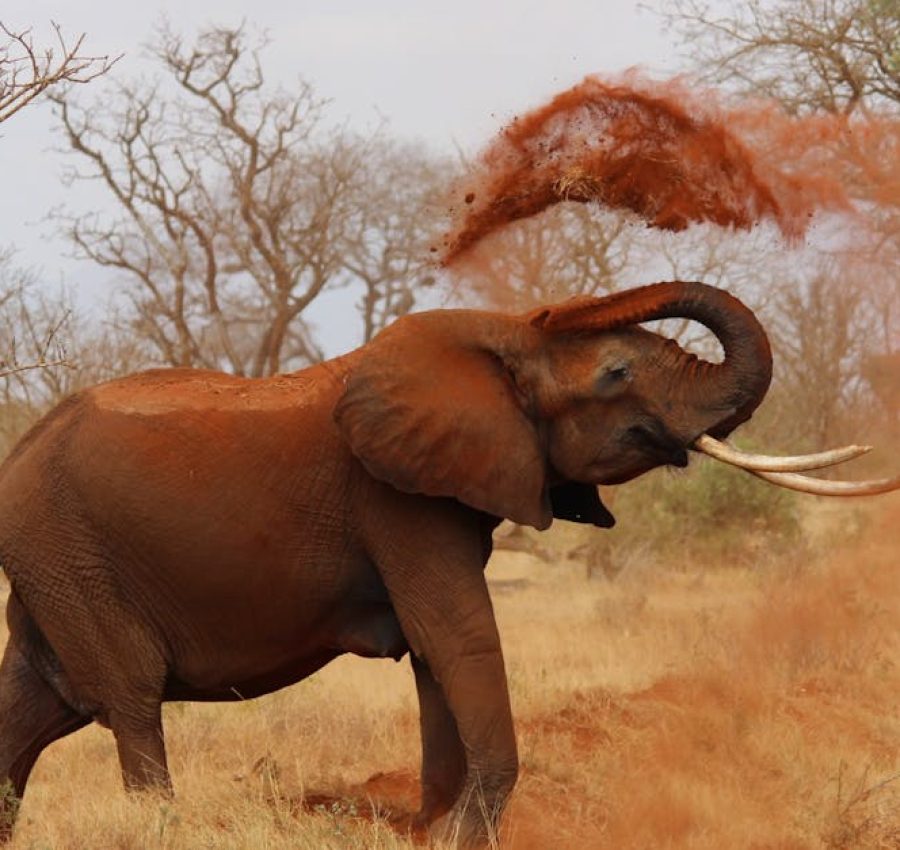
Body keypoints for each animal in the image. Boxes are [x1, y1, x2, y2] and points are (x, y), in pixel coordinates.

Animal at [0, 280, 891, 847]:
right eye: (615, 373)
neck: (497, 340)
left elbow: (435, 650)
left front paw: (427, 829)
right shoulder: (397, 499)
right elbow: (458, 634)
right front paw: (463, 834)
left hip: (51, 565)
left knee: (35, 706)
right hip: (69, 555)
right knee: (128, 699)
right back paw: (160, 825)